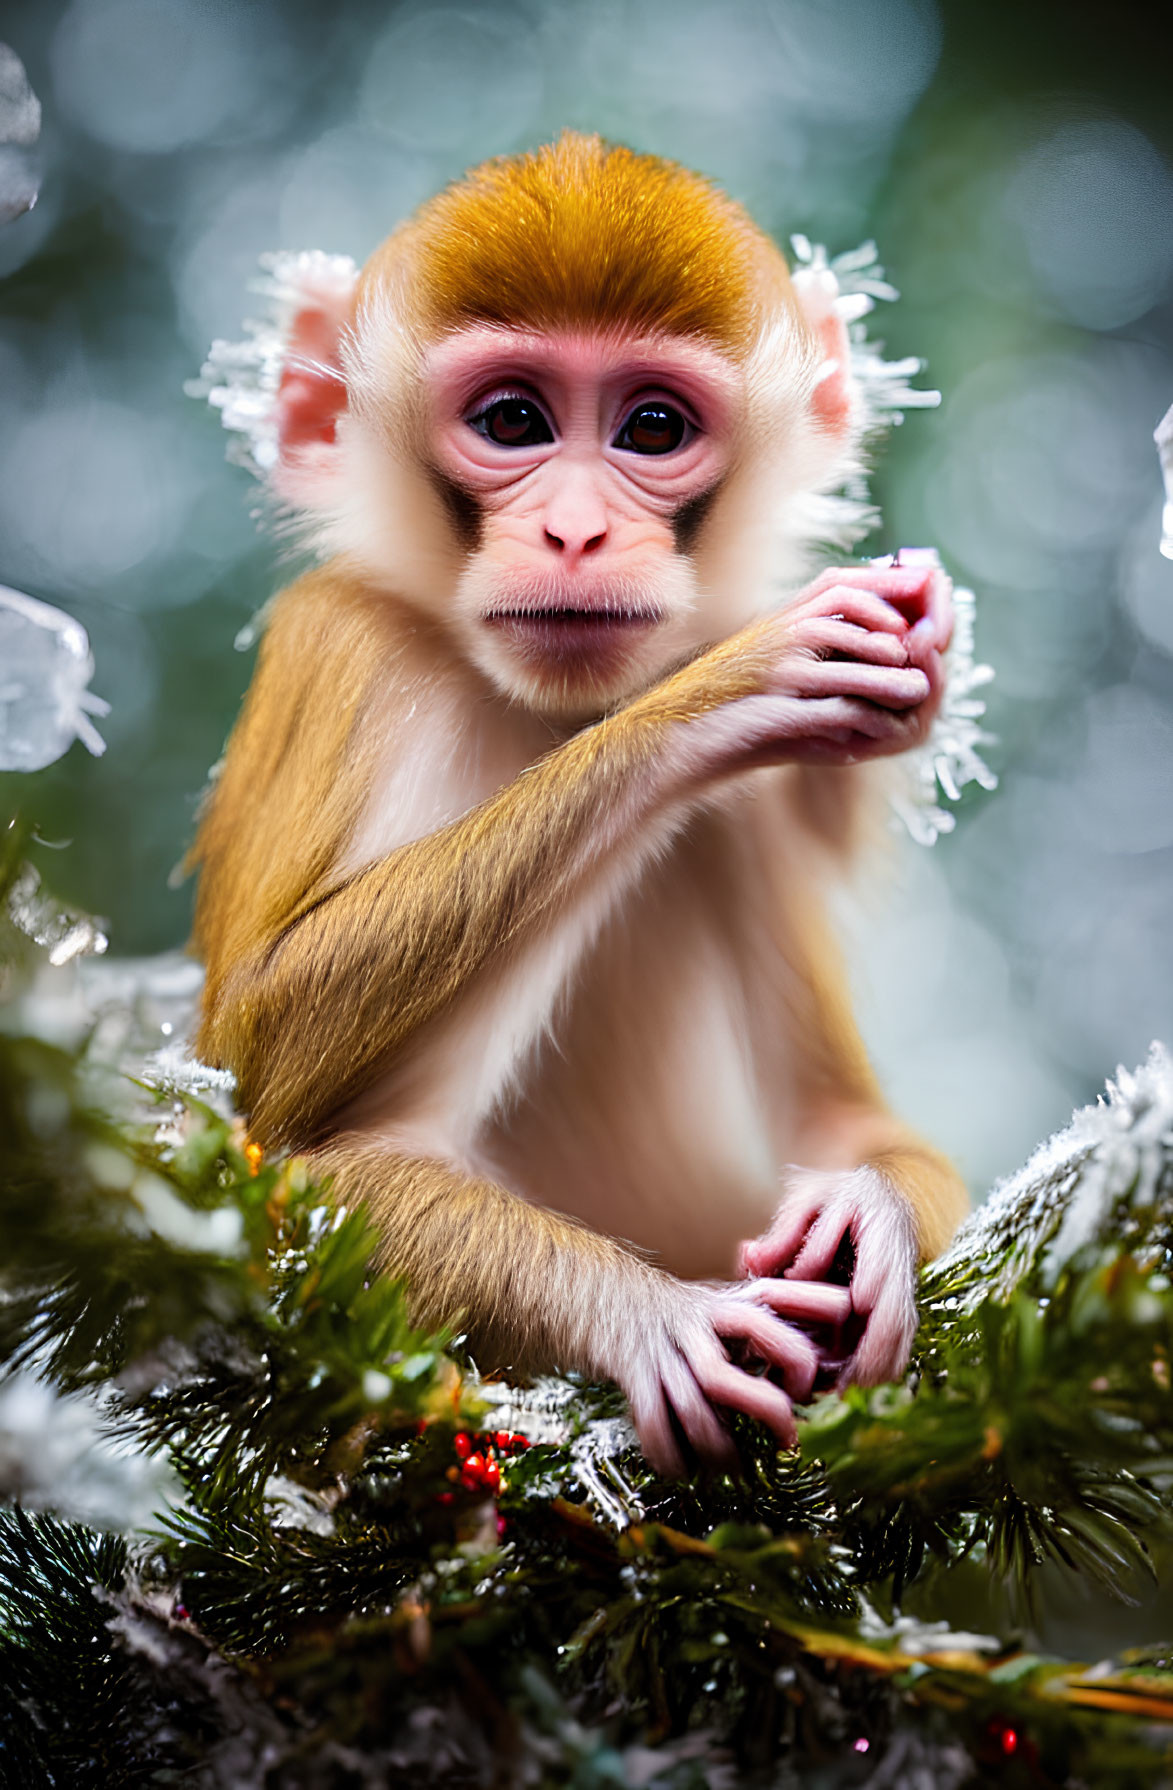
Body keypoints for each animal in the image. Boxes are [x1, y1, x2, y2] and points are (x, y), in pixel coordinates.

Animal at [190, 136, 967, 1482]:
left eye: (652, 427)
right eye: (514, 420)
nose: (574, 529)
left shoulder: (751, 816)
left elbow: (841, 1118)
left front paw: (864, 1216)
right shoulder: (343, 648)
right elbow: (272, 1135)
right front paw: (646, 1315)